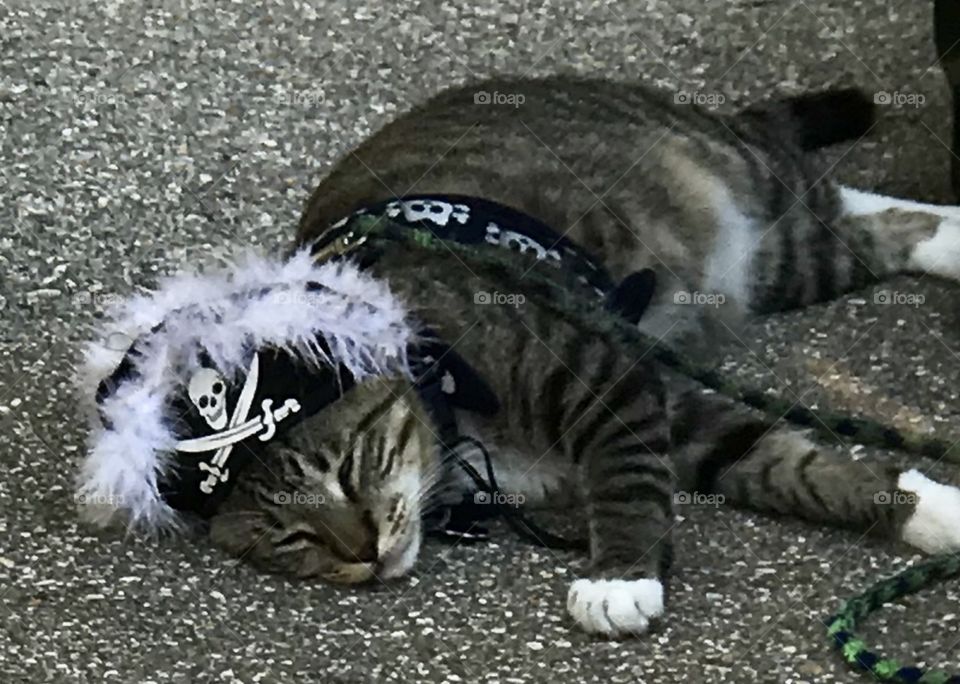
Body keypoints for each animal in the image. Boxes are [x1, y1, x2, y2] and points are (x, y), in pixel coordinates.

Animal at [212, 76, 960, 636]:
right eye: (290, 536)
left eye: (345, 469)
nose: (361, 552)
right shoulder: (678, 410)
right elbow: (789, 464)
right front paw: (933, 513)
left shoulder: (608, 372)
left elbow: (627, 478)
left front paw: (620, 576)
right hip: (781, 264)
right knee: (871, 225)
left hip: (761, 206)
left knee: (834, 200)